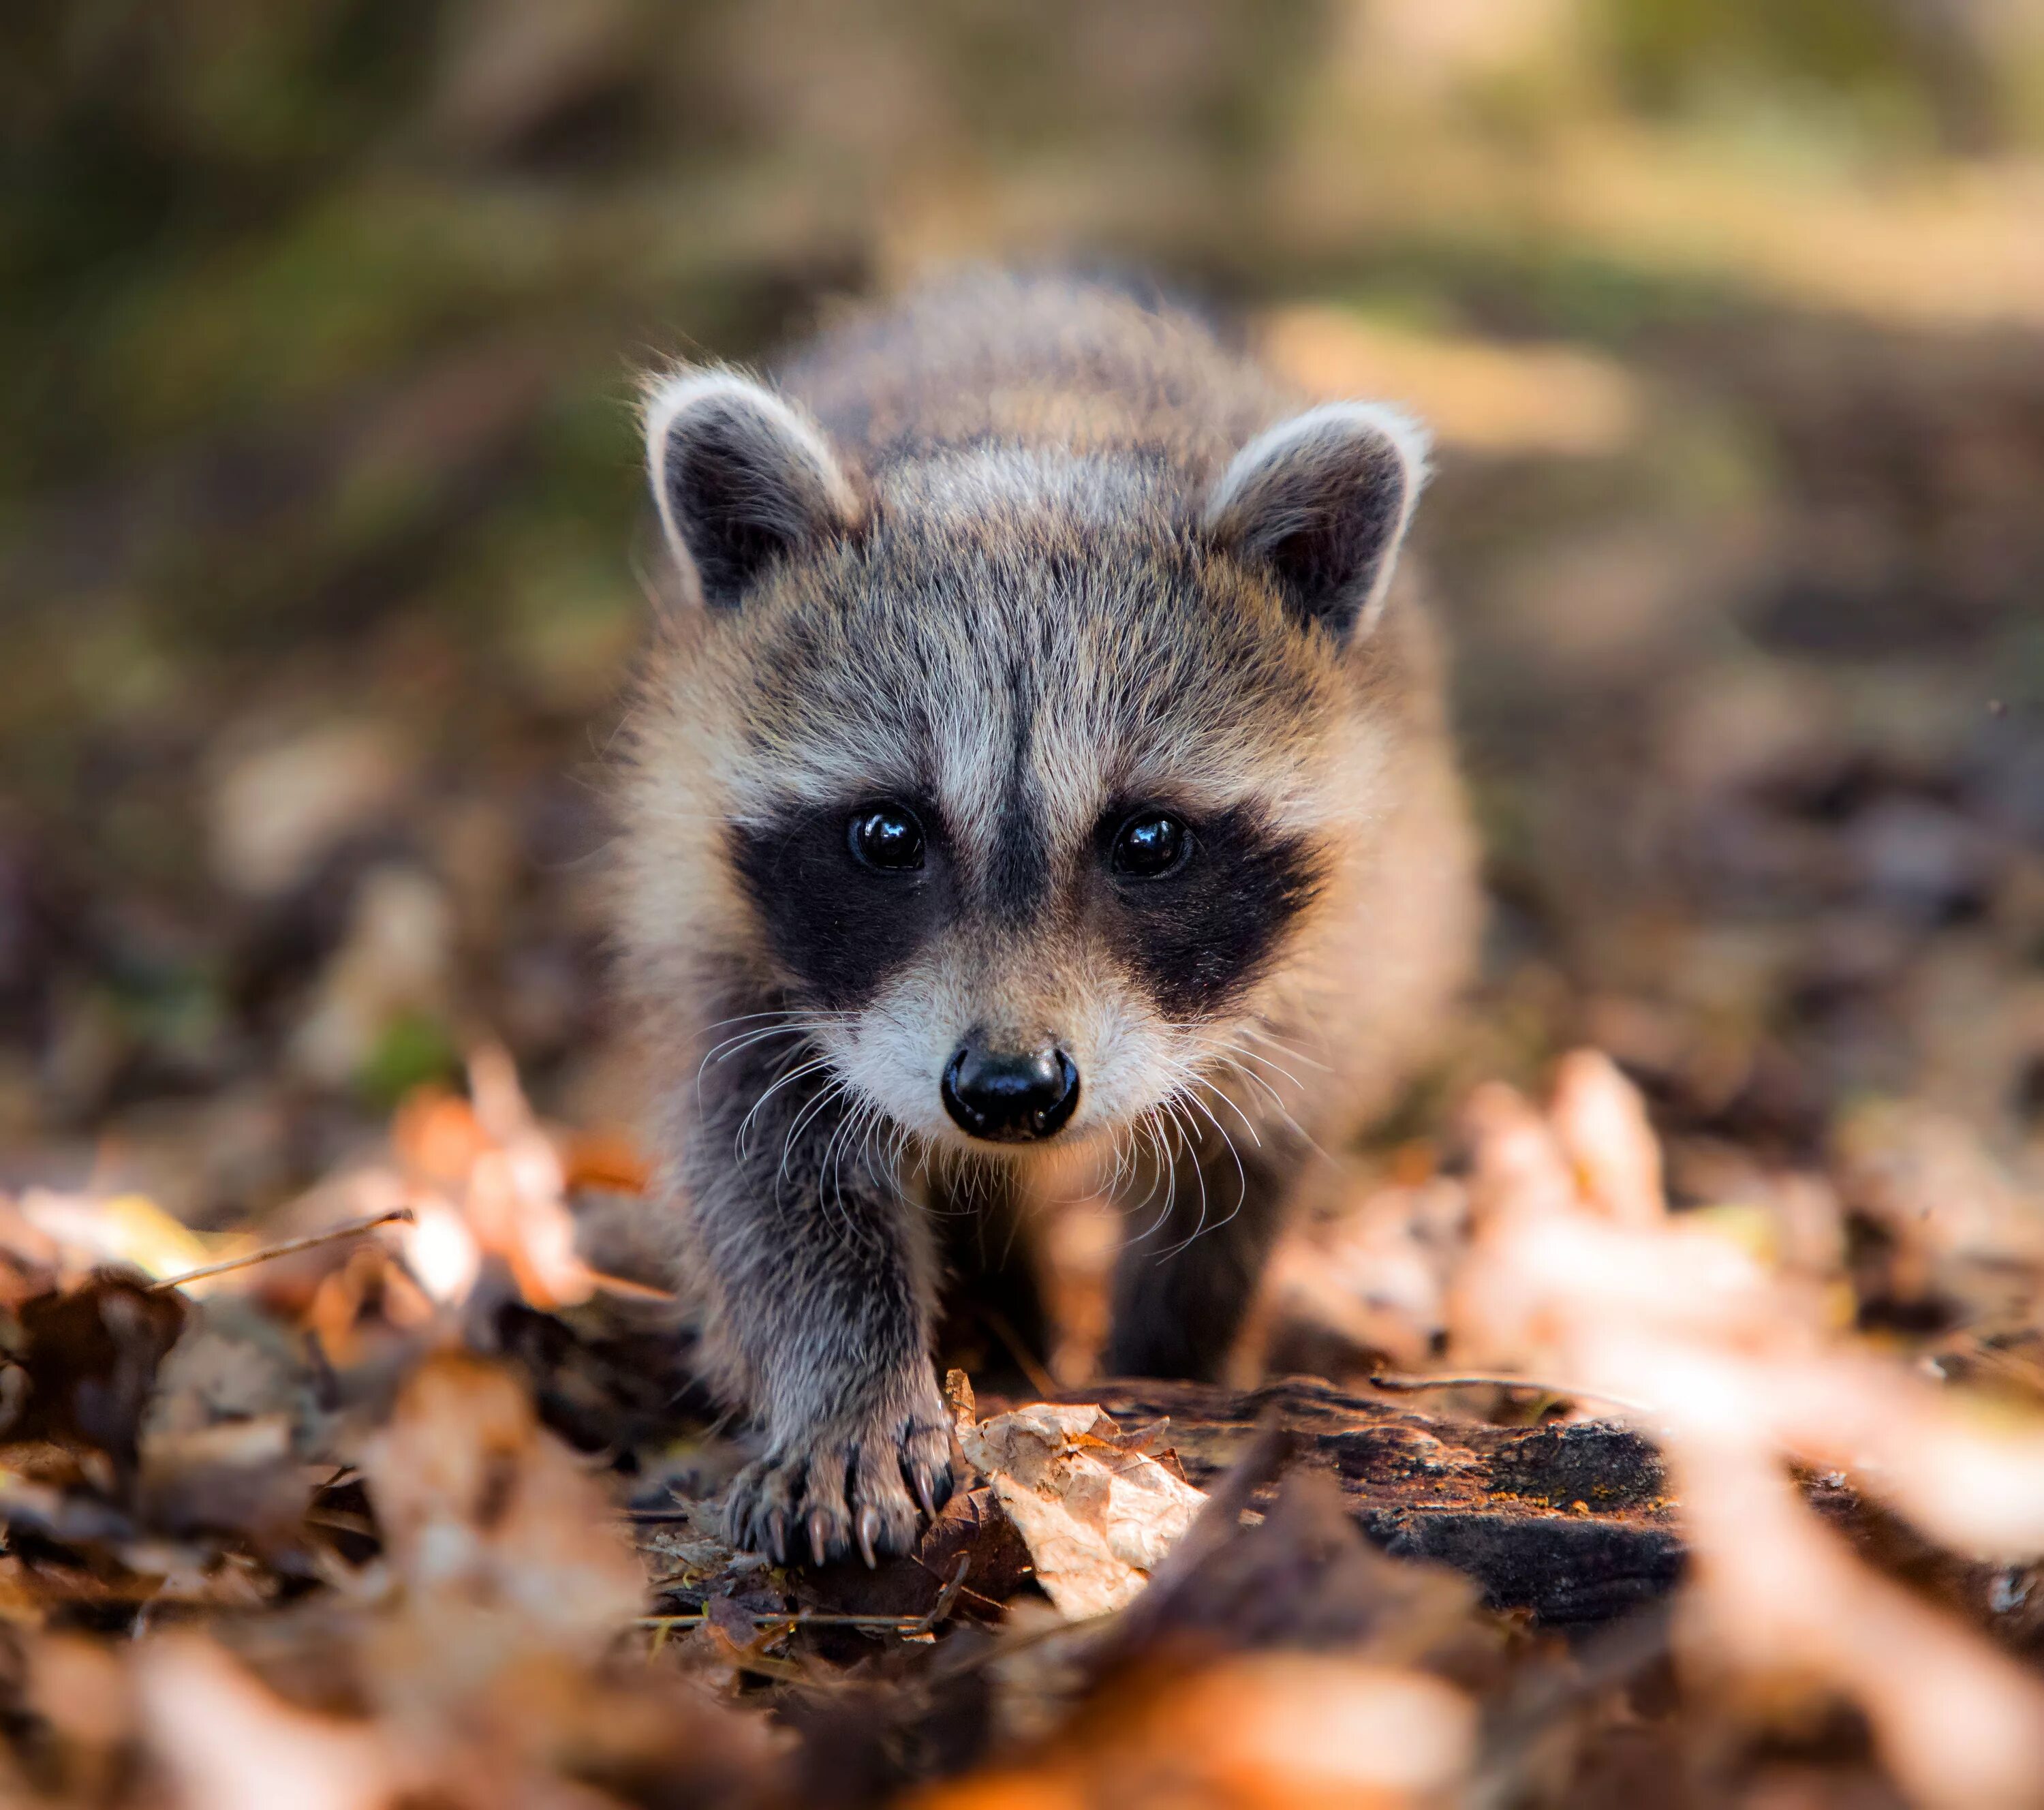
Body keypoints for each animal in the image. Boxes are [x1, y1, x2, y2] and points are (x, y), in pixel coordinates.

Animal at [613, 272, 1480, 1570]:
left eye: (1149, 841)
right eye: (887, 834)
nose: (1009, 1094)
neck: (1034, 434)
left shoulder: (1338, 952)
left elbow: (1242, 1168)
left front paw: (1171, 1364)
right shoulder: (720, 923)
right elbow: (764, 1171)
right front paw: (847, 1390)